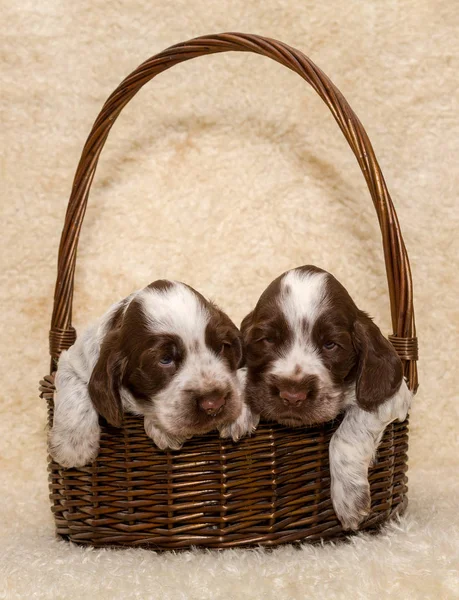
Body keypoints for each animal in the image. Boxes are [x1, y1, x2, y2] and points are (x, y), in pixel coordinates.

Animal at [48, 282, 246, 468]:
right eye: (165, 359)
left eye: (222, 347)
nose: (214, 403)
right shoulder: (72, 360)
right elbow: (75, 387)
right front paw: (73, 447)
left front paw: (240, 415)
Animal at [241, 266, 414, 528]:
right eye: (268, 340)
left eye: (331, 345)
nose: (293, 395)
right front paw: (238, 413)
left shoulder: (393, 398)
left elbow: (345, 436)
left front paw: (350, 500)